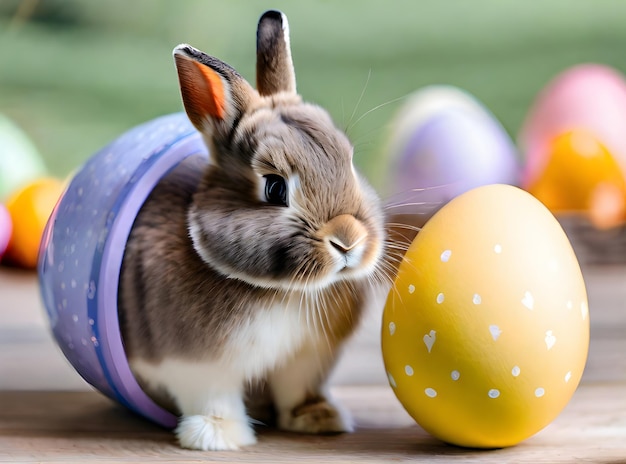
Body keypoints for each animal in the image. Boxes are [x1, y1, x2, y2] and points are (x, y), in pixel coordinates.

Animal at [118, 10, 404, 454]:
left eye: (350, 162)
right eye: (274, 188)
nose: (348, 239)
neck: (283, 292)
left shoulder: (308, 358)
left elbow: (298, 389)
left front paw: (319, 419)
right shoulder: (196, 365)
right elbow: (213, 398)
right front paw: (217, 437)